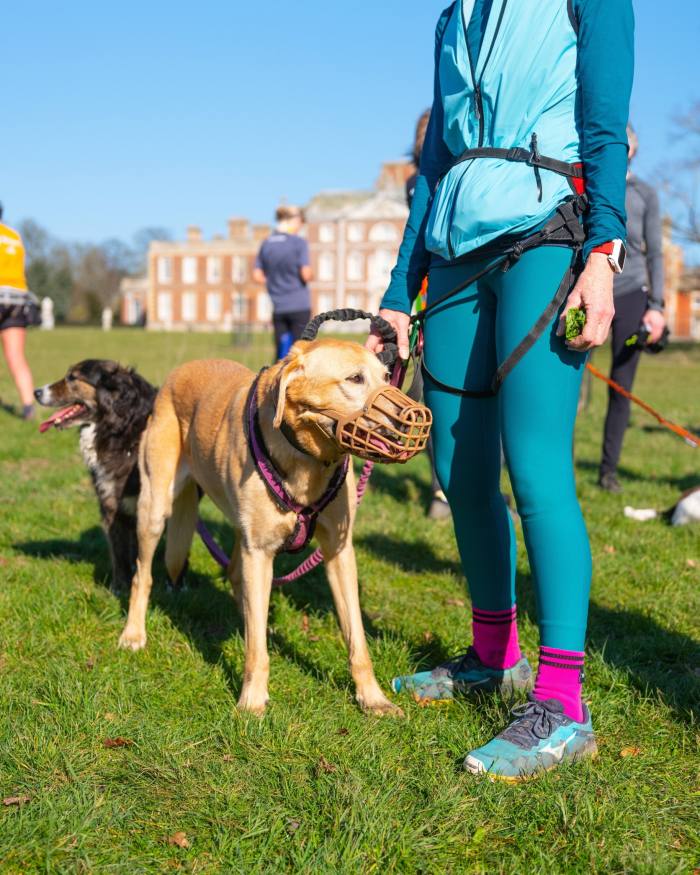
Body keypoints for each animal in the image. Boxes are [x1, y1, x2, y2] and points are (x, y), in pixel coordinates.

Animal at [119, 338, 404, 716]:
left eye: (387, 376)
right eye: (355, 378)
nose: (414, 418)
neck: (307, 462)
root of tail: (180, 371)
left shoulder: (339, 552)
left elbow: (357, 638)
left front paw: (373, 698)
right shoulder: (260, 552)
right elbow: (256, 650)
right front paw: (252, 700)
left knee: (236, 577)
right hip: (155, 507)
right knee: (143, 575)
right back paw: (133, 634)